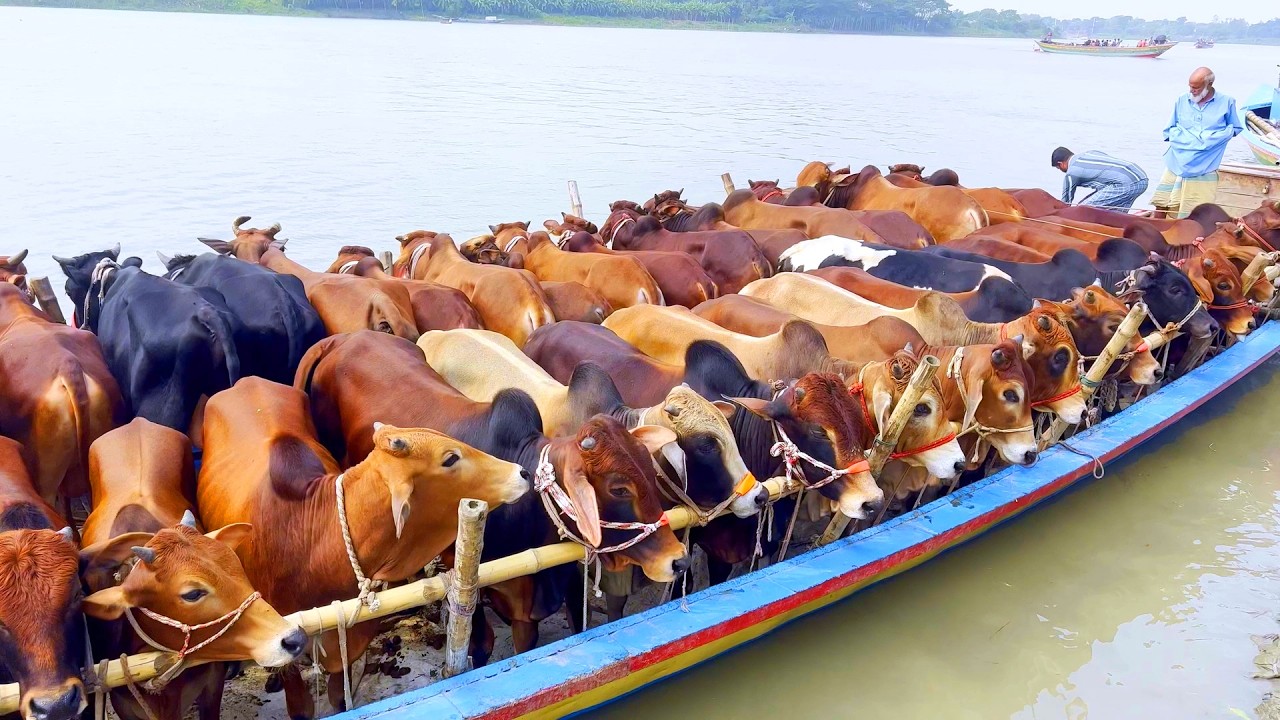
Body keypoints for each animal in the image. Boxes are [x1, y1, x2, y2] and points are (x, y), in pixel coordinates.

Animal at [82, 418, 305, 720]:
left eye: (236, 565)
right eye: (192, 594)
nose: (294, 638)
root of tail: (137, 421)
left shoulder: (211, 683)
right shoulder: (124, 703)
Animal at [198, 376, 531, 717]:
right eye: (450, 458)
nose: (521, 472)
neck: (313, 543)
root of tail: (246, 380)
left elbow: (338, 696)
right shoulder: (279, 641)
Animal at [291, 331, 686, 671]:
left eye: (649, 470)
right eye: (619, 488)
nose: (678, 560)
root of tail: (340, 339)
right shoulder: (475, 582)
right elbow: (481, 645)